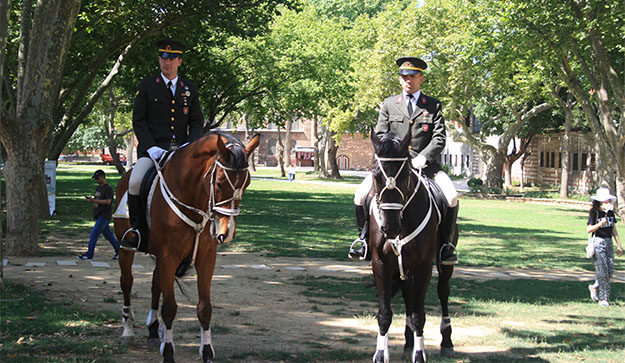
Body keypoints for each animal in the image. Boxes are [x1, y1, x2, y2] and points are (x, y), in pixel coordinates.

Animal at [114, 133, 258, 363]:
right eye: (219, 183)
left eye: (247, 183)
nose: (226, 233)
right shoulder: (169, 256)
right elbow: (170, 308)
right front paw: (168, 354)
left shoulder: (206, 257)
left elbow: (204, 308)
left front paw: (207, 353)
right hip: (126, 248)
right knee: (127, 282)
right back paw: (128, 330)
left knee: (155, 285)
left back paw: (154, 331)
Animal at [366, 131, 454, 363]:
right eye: (376, 175)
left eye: (405, 174)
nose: (390, 227)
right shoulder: (380, 263)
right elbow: (385, 313)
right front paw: (381, 354)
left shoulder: (423, 266)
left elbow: (418, 314)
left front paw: (420, 354)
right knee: (408, 296)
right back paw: (407, 342)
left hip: (443, 264)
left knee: (443, 292)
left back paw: (446, 342)